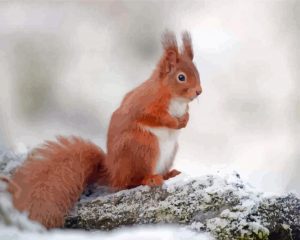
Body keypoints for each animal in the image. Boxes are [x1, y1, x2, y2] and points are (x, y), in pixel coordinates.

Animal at [5, 30, 202, 229]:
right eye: (181, 77)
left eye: (197, 71)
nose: (199, 91)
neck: (174, 98)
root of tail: (112, 172)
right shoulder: (144, 104)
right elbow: (154, 117)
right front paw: (175, 122)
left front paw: (185, 120)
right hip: (144, 147)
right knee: (128, 183)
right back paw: (150, 179)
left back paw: (169, 173)